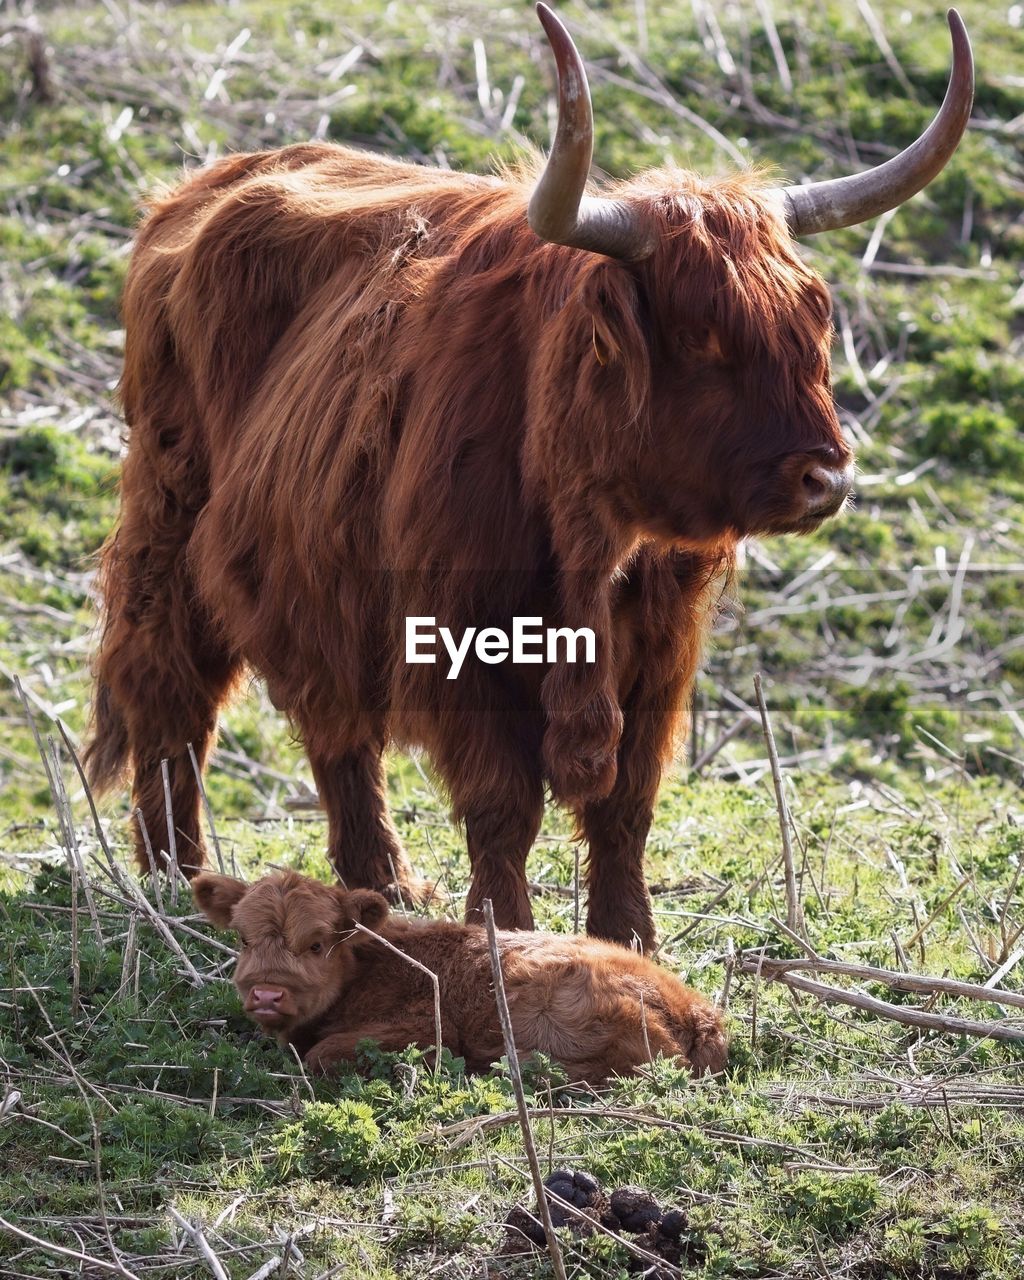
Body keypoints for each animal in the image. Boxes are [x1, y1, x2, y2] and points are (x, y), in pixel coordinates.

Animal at [83, 2, 972, 952]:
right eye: (702, 337)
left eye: (812, 323)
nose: (826, 478)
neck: (593, 528)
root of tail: (199, 190)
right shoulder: (461, 639)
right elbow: (504, 806)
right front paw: (507, 937)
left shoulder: (661, 651)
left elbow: (626, 803)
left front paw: (627, 938)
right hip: (169, 518)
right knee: (169, 690)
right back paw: (176, 873)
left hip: (315, 576)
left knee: (336, 731)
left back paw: (383, 884)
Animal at [192, 870, 727, 1080]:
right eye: (243, 939)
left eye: (318, 944)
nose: (267, 994)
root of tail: (697, 1010)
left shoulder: (426, 1028)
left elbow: (322, 1054)